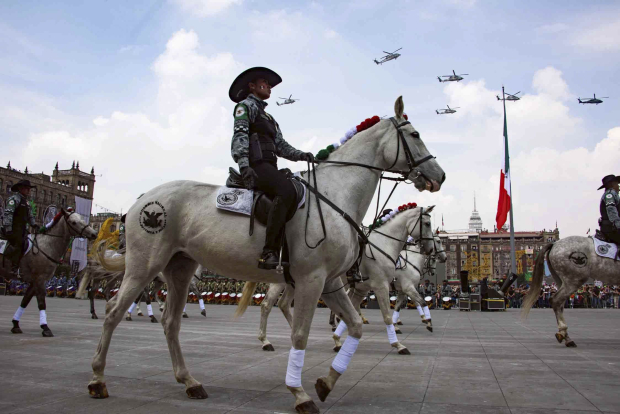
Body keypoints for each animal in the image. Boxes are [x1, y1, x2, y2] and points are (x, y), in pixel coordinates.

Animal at [88, 98, 446, 414]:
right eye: (415, 134)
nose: (439, 175)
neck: (333, 197)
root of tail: (142, 199)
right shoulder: (317, 280)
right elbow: (303, 334)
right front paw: (300, 393)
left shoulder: (332, 283)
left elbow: (356, 324)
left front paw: (326, 382)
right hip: (145, 265)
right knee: (113, 311)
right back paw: (98, 379)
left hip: (180, 269)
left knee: (170, 322)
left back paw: (189, 381)